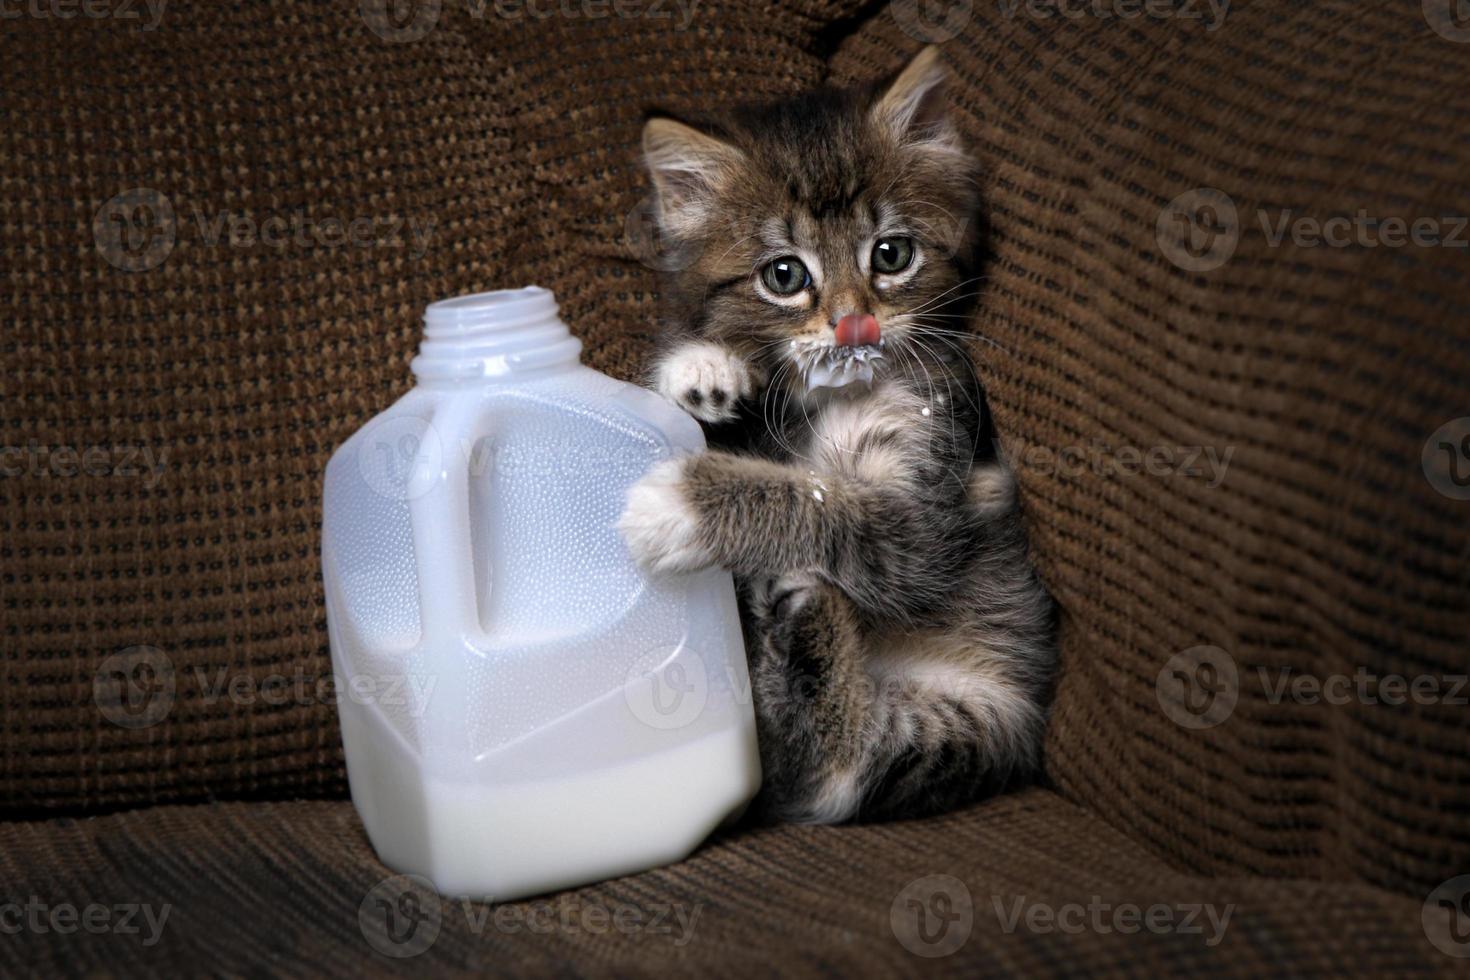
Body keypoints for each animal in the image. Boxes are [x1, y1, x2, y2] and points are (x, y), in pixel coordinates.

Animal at [617, 47, 1058, 828]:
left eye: (892, 254)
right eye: (784, 273)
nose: (856, 324)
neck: (834, 403)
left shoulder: (927, 515)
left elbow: (833, 502)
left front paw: (682, 504)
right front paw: (701, 368)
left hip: (973, 718)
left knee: (827, 773)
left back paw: (805, 606)